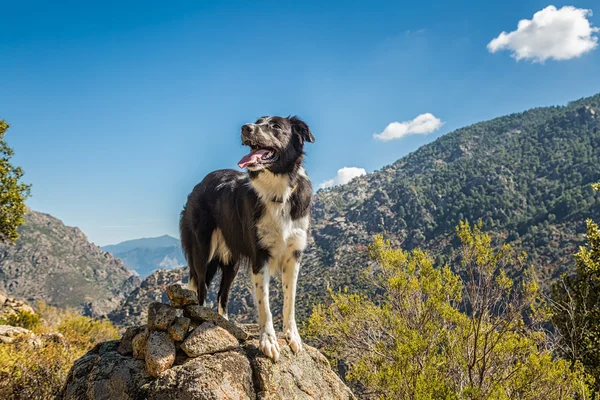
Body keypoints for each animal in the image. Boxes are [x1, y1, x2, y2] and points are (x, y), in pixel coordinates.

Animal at [179, 115, 314, 360]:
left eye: (275, 126)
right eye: (258, 121)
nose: (245, 128)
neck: (278, 190)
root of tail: (199, 184)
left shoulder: (294, 255)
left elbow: (289, 301)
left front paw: (293, 336)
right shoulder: (260, 257)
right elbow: (265, 304)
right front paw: (268, 341)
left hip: (230, 261)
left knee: (222, 294)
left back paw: (225, 324)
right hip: (201, 253)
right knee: (202, 291)